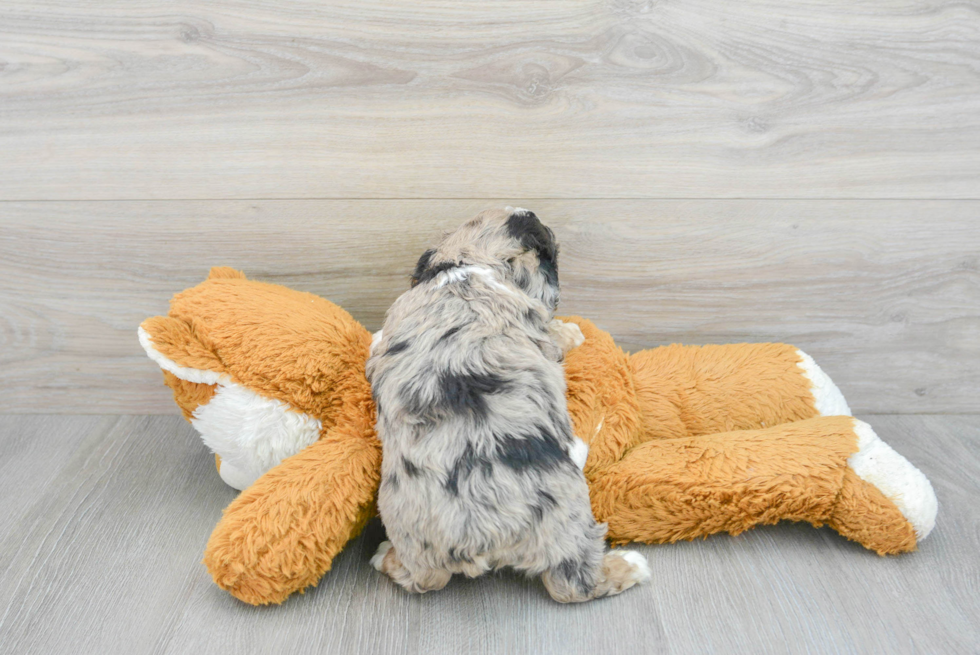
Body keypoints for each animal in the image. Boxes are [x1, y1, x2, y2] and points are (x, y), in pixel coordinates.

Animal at [366, 208, 652, 604]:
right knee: (573, 584)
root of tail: (478, 538)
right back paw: (631, 564)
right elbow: (555, 334)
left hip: (410, 534)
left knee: (422, 578)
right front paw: (572, 332)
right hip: (566, 521)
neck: (463, 266)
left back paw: (384, 556)